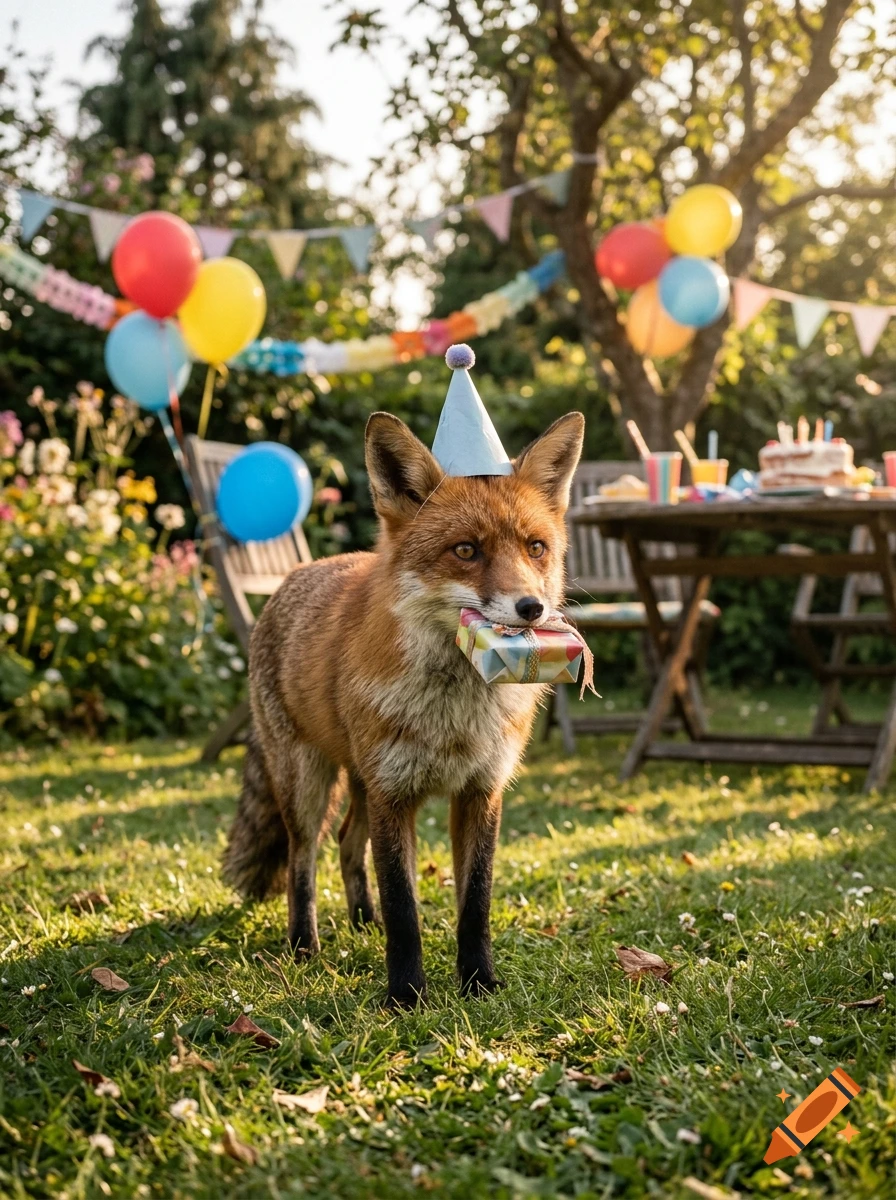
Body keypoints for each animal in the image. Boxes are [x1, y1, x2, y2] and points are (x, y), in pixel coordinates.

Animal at [222, 408, 585, 1007]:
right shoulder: (395, 795)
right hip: (307, 783)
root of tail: (295, 575)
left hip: (360, 782)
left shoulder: (479, 792)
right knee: (303, 859)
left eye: (535, 548)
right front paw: (406, 996)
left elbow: (475, 904)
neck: (453, 716)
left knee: (347, 842)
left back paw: (361, 922)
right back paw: (304, 945)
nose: (531, 608)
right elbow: (403, 906)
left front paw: (478, 982)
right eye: (466, 550)